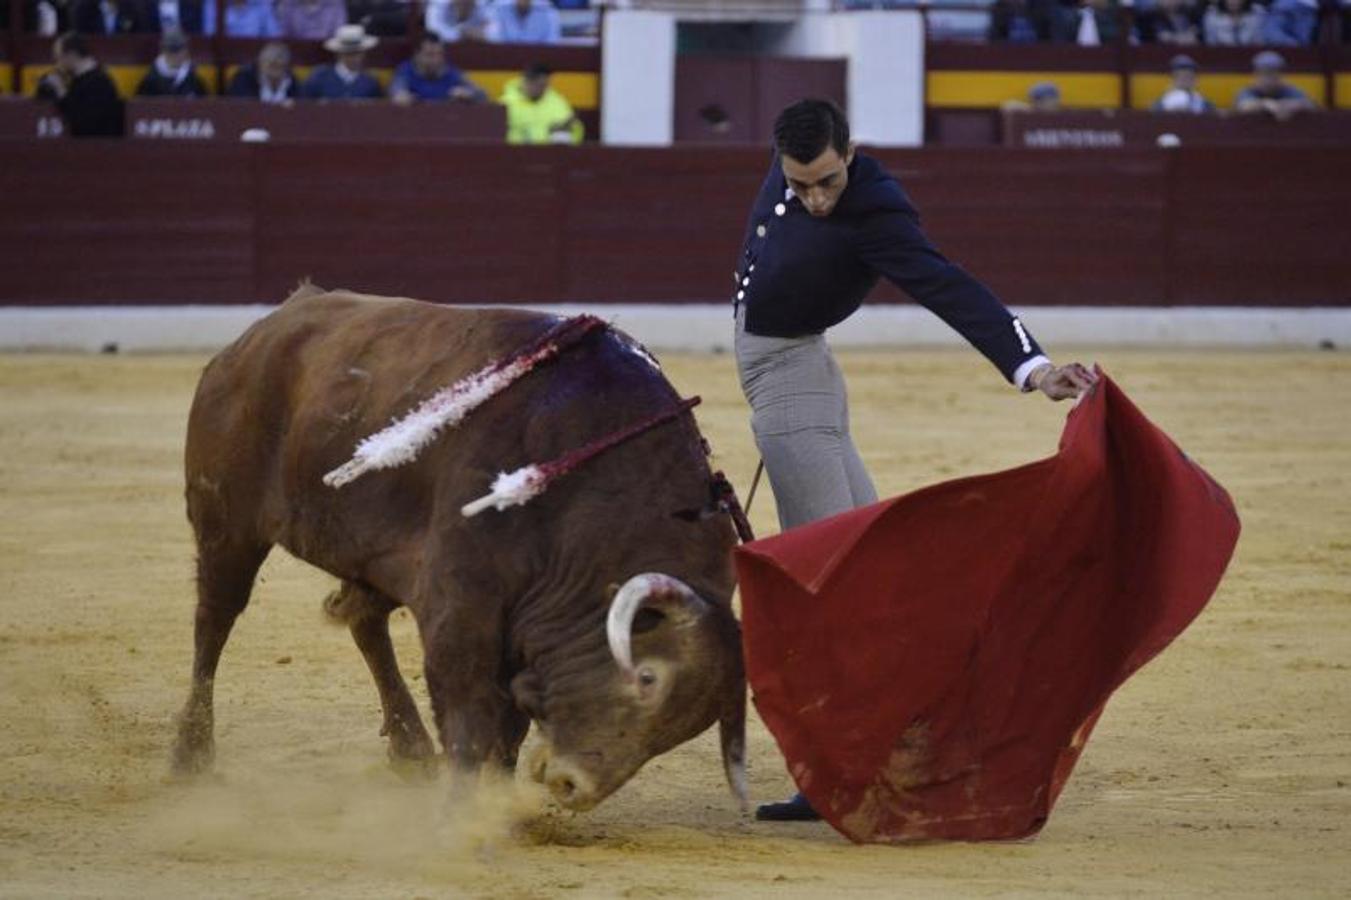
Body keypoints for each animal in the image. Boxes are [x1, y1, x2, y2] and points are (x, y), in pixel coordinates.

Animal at [168, 283, 751, 810]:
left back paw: (410, 749)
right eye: (647, 678)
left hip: (368, 553)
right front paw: (465, 811)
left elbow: (506, 726)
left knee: (364, 621)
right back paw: (191, 756)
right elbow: (469, 708)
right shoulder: (462, 603)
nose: (572, 786)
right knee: (214, 619)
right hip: (227, 524)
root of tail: (263, 332)